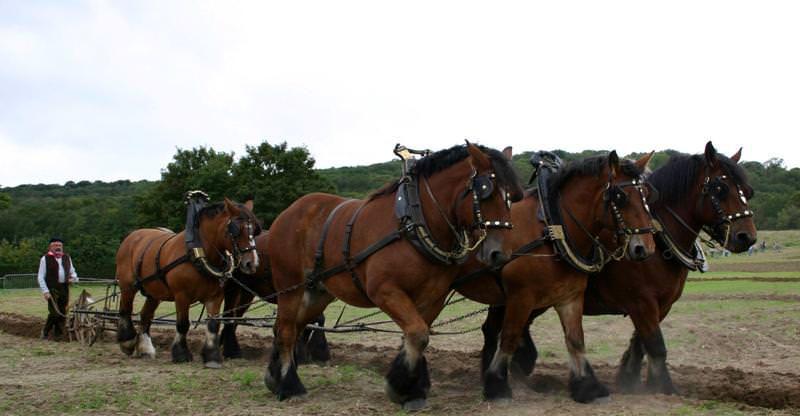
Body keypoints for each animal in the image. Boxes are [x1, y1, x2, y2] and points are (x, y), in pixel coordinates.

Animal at [114, 195, 260, 368]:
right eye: (236, 230)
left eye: (254, 230)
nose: (252, 263)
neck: (198, 253)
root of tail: (132, 236)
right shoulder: (182, 295)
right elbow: (183, 324)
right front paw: (181, 354)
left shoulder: (215, 297)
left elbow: (213, 324)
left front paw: (212, 356)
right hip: (128, 285)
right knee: (125, 309)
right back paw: (127, 341)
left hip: (154, 293)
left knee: (145, 315)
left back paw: (145, 349)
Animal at [220, 234, 330, 364]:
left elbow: (313, 320)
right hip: (233, 287)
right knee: (228, 315)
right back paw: (229, 349)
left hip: (246, 293)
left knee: (236, 316)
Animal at [266, 143, 520, 410]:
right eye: (486, 193)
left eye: (511, 198)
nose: (500, 254)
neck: (416, 222)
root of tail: (290, 210)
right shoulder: (385, 291)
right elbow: (417, 334)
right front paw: (401, 387)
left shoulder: (433, 297)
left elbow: (416, 336)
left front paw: (409, 389)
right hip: (290, 285)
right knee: (286, 330)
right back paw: (290, 385)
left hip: (318, 292)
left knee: (291, 327)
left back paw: (274, 377)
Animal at [454, 150, 660, 404]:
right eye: (620, 197)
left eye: (646, 195)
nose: (646, 248)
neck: (553, 229)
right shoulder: (521, 297)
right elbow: (510, 336)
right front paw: (497, 386)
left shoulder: (569, 296)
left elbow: (575, 339)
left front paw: (587, 386)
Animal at [494, 143, 756, 396]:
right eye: (720, 188)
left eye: (747, 190)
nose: (747, 237)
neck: (659, 241)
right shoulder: (641, 301)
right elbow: (656, 345)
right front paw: (665, 388)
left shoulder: (661, 305)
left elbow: (640, 344)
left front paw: (632, 380)